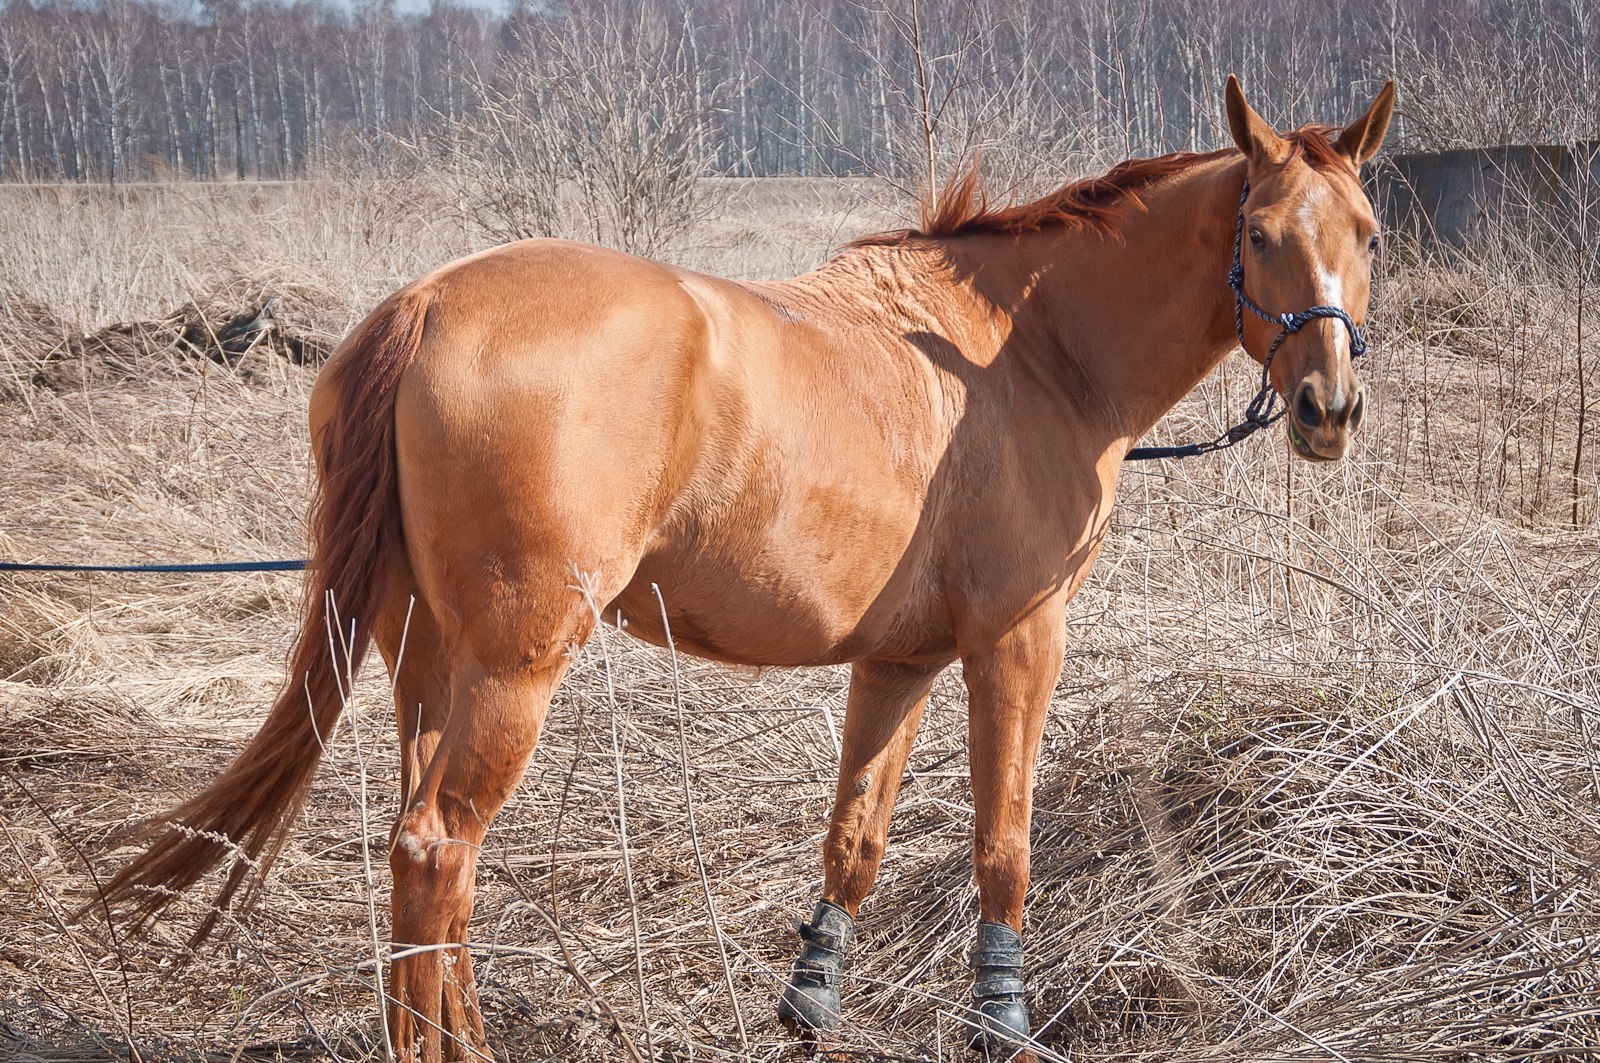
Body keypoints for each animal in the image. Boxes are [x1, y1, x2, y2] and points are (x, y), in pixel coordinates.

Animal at [106, 78, 1395, 1056]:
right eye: (1261, 236)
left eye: (1369, 236)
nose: (1330, 410)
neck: (1021, 354)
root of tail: (424, 303)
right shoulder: (1015, 644)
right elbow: (1004, 851)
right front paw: (1002, 1027)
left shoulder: (898, 662)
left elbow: (854, 845)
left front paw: (810, 1007)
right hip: (518, 665)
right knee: (438, 846)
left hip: (430, 659)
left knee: (431, 856)